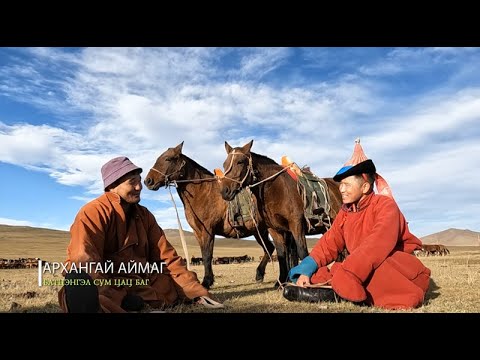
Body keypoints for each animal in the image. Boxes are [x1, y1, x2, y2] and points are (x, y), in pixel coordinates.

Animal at [142, 142, 276, 288]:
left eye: (168, 159)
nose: (148, 181)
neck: (202, 192)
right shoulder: (198, 232)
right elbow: (204, 253)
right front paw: (208, 280)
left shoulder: (208, 230)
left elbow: (207, 255)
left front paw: (206, 281)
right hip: (260, 231)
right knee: (270, 248)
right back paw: (260, 275)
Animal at [219, 140, 344, 284]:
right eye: (224, 164)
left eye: (240, 162)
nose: (225, 191)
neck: (276, 189)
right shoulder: (274, 229)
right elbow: (281, 254)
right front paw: (281, 281)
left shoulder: (296, 224)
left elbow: (302, 252)